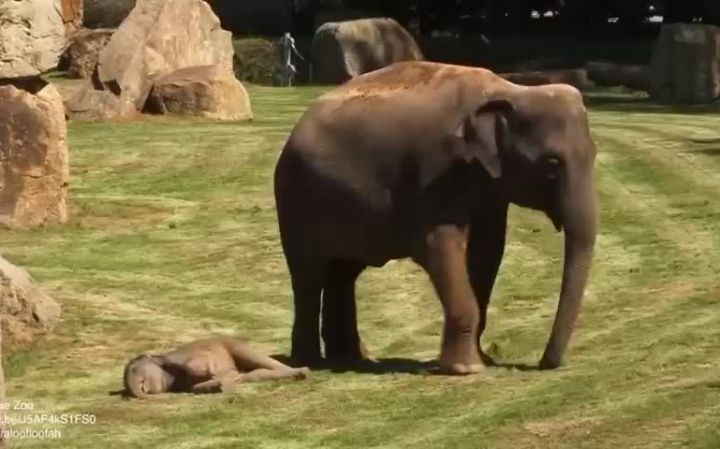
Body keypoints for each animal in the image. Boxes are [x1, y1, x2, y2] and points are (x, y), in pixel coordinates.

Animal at [274, 61, 597, 374]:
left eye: (594, 155)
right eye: (552, 163)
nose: (544, 363)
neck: (509, 90)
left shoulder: (488, 187)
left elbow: (487, 251)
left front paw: (480, 359)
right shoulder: (436, 167)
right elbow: (440, 245)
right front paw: (467, 369)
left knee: (342, 273)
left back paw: (352, 359)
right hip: (294, 200)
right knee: (308, 274)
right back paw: (309, 362)